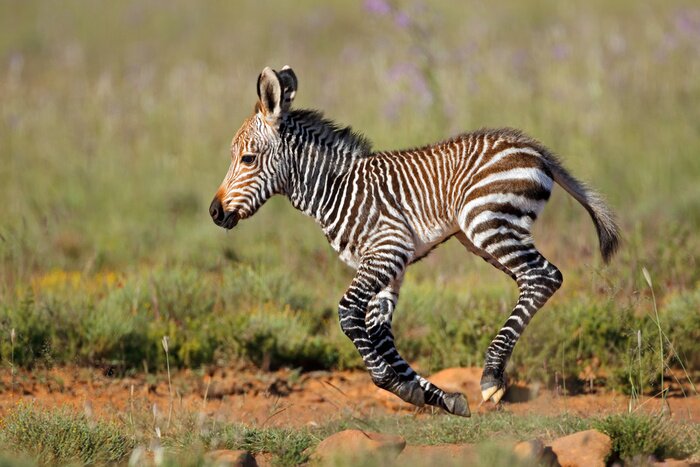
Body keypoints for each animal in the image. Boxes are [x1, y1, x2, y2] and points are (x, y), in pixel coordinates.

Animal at [209, 66, 620, 416]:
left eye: (247, 159)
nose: (214, 212)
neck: (333, 187)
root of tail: (532, 146)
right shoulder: (388, 265)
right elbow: (378, 332)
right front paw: (435, 396)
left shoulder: (387, 249)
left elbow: (348, 314)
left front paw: (397, 385)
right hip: (485, 234)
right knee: (535, 279)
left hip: (486, 221)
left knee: (544, 277)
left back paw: (491, 376)